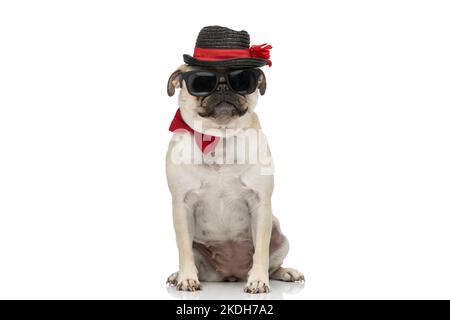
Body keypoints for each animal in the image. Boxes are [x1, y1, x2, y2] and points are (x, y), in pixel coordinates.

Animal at [163, 26, 304, 294]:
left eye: (242, 80)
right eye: (201, 82)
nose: (222, 87)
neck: (218, 138)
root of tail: (231, 274)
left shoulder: (260, 205)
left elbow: (261, 251)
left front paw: (258, 280)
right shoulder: (181, 206)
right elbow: (183, 249)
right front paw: (187, 278)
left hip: (279, 233)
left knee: (273, 263)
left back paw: (285, 272)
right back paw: (178, 275)